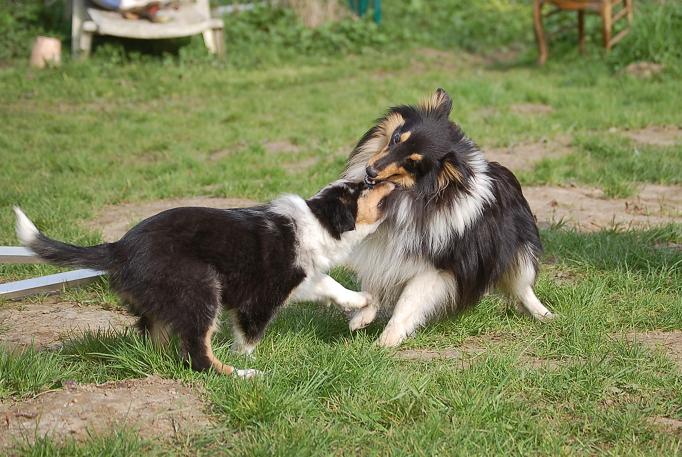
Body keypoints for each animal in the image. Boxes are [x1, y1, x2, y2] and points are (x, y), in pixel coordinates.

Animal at [13, 180, 394, 376]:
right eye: (364, 188)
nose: (385, 177)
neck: (318, 222)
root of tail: (118, 247)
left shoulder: (298, 278)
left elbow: (330, 285)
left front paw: (362, 302)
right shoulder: (264, 294)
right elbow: (250, 334)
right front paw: (249, 359)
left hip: (163, 301)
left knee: (159, 338)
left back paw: (160, 360)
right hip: (199, 288)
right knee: (198, 356)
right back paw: (240, 374)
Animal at [340, 88, 552, 346]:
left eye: (412, 163)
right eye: (397, 138)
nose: (370, 171)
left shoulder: (435, 268)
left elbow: (407, 303)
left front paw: (386, 342)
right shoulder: (384, 246)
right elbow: (373, 283)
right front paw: (361, 318)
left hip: (517, 250)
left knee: (523, 287)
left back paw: (546, 315)